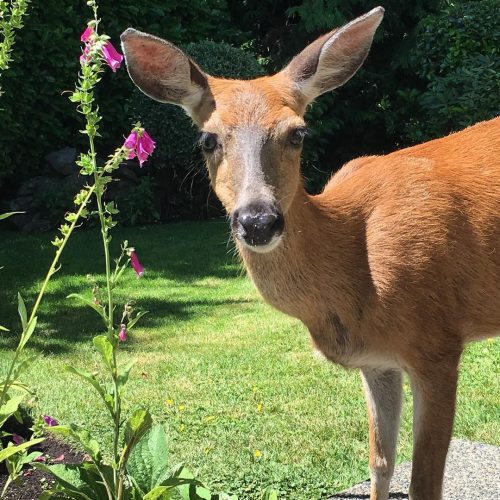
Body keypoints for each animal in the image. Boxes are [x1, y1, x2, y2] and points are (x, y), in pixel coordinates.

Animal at [120, 8, 500, 500]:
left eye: (297, 133)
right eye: (207, 140)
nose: (258, 220)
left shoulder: (438, 344)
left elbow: (423, 483)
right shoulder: (377, 360)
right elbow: (380, 462)